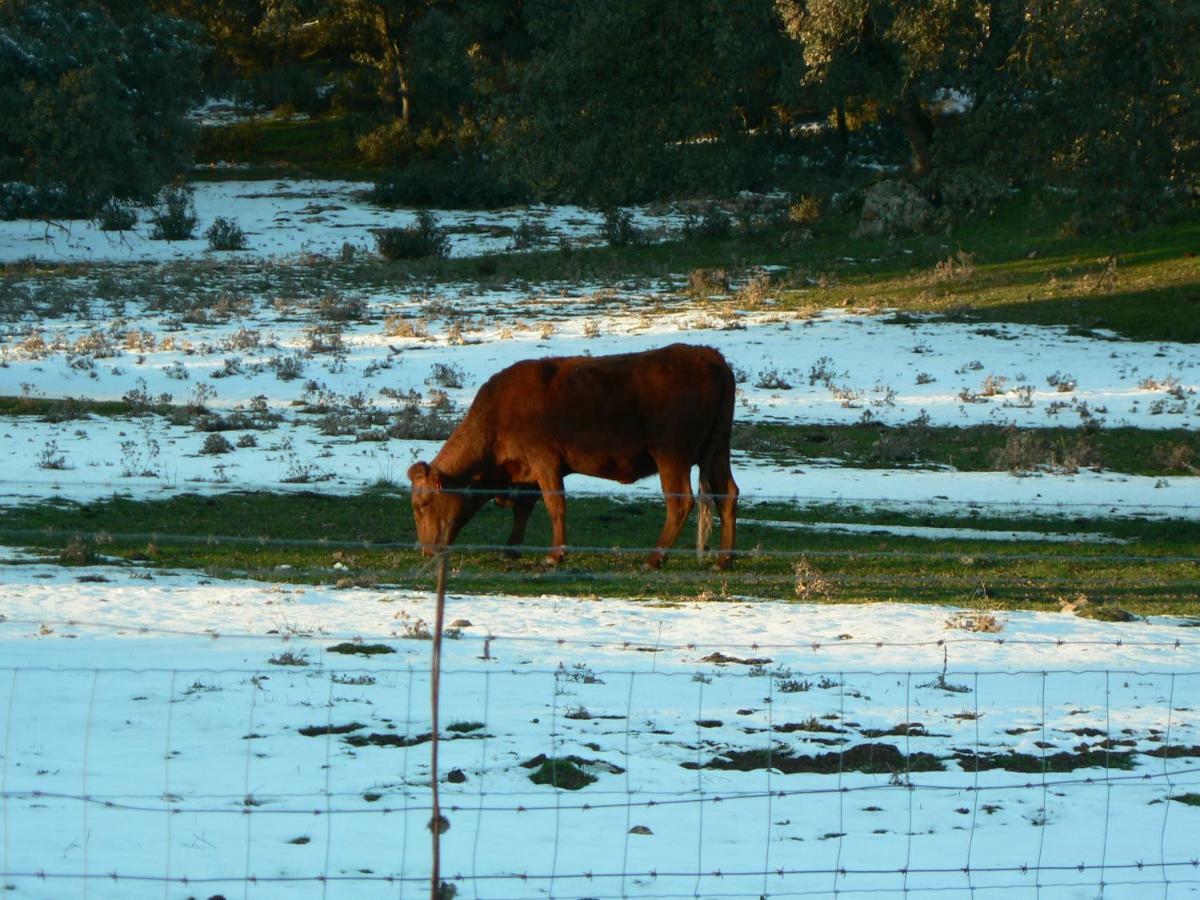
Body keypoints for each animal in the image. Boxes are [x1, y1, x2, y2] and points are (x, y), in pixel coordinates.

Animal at [408, 340, 734, 566]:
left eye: (421, 505)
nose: (425, 550)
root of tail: (709, 355)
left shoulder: (545, 462)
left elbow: (555, 505)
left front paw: (555, 555)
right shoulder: (526, 473)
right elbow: (523, 508)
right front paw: (511, 550)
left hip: (672, 457)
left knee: (680, 502)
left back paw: (654, 558)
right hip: (717, 452)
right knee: (728, 495)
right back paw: (723, 560)